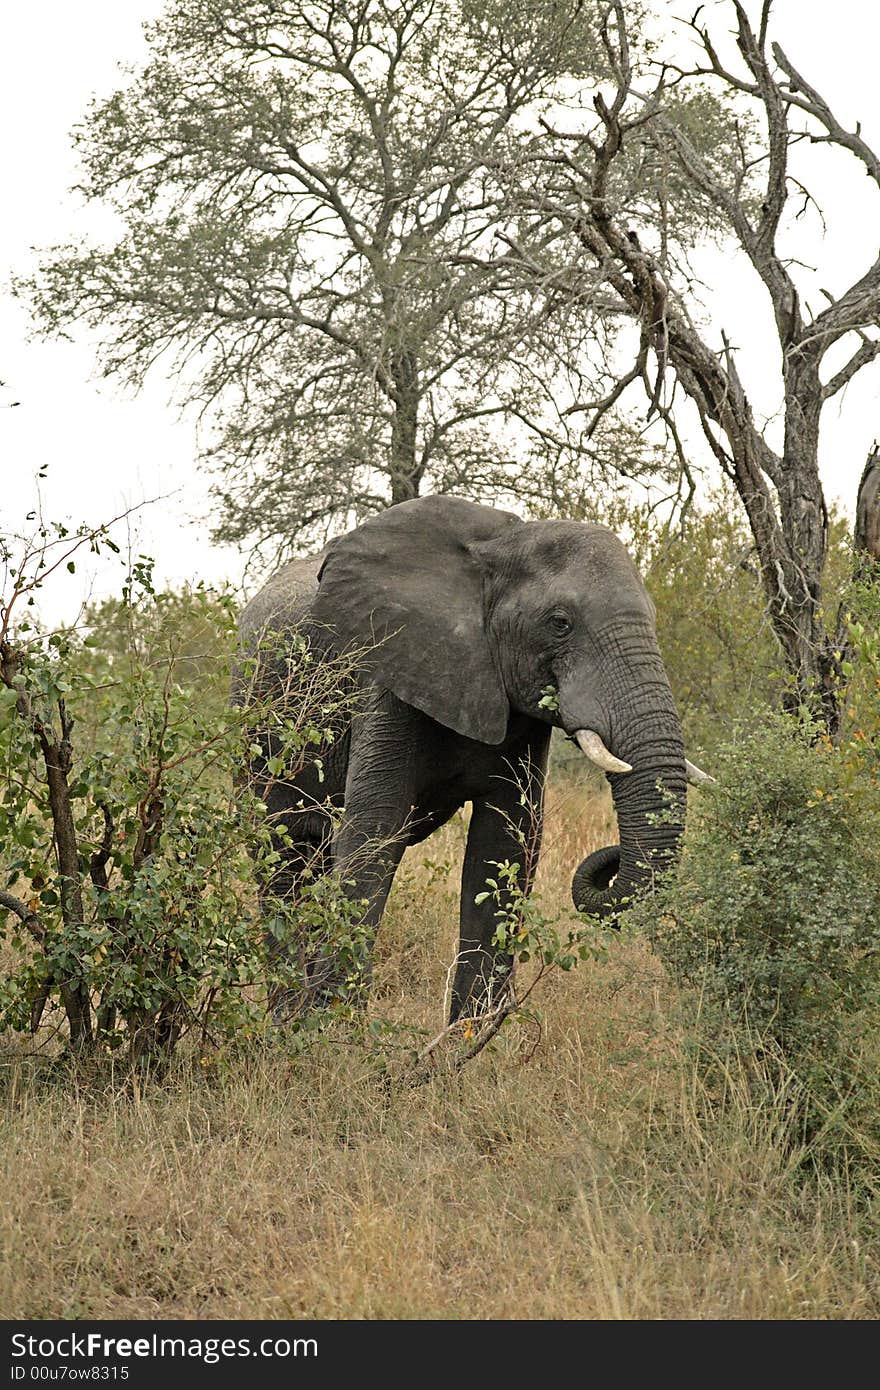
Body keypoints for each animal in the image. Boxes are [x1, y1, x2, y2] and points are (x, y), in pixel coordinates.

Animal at [236, 497, 703, 1023]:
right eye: (559, 622)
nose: (611, 859)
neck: (501, 545)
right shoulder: (389, 674)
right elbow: (373, 829)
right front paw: (333, 1026)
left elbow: (505, 842)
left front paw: (471, 1034)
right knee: (284, 856)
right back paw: (287, 1018)